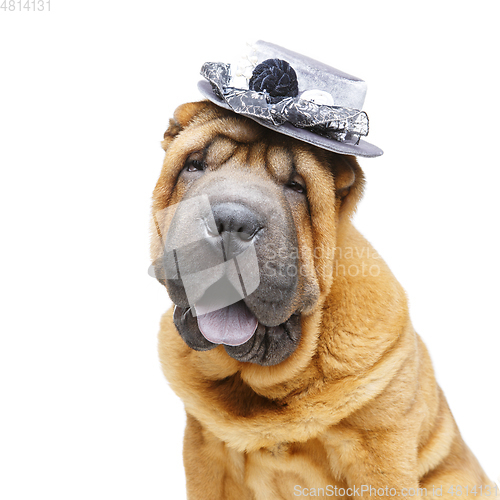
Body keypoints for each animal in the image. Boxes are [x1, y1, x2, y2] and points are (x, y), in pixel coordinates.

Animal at [150, 43, 498, 500]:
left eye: (296, 188)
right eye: (194, 166)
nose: (231, 221)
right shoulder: (207, 451)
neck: (263, 383)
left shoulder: (379, 451)